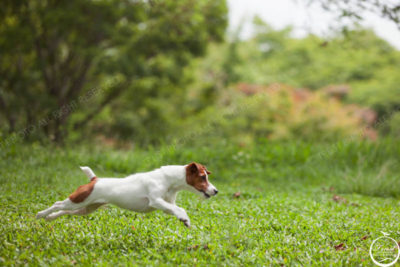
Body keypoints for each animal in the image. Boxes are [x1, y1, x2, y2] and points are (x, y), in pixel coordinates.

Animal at [35, 163, 217, 228]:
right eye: (203, 177)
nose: (216, 191)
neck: (169, 180)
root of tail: (95, 179)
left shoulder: (167, 204)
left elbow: (175, 208)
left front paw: (184, 220)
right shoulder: (155, 201)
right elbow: (178, 209)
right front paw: (184, 218)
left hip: (86, 208)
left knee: (65, 211)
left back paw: (50, 218)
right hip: (79, 200)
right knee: (58, 204)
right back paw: (41, 214)